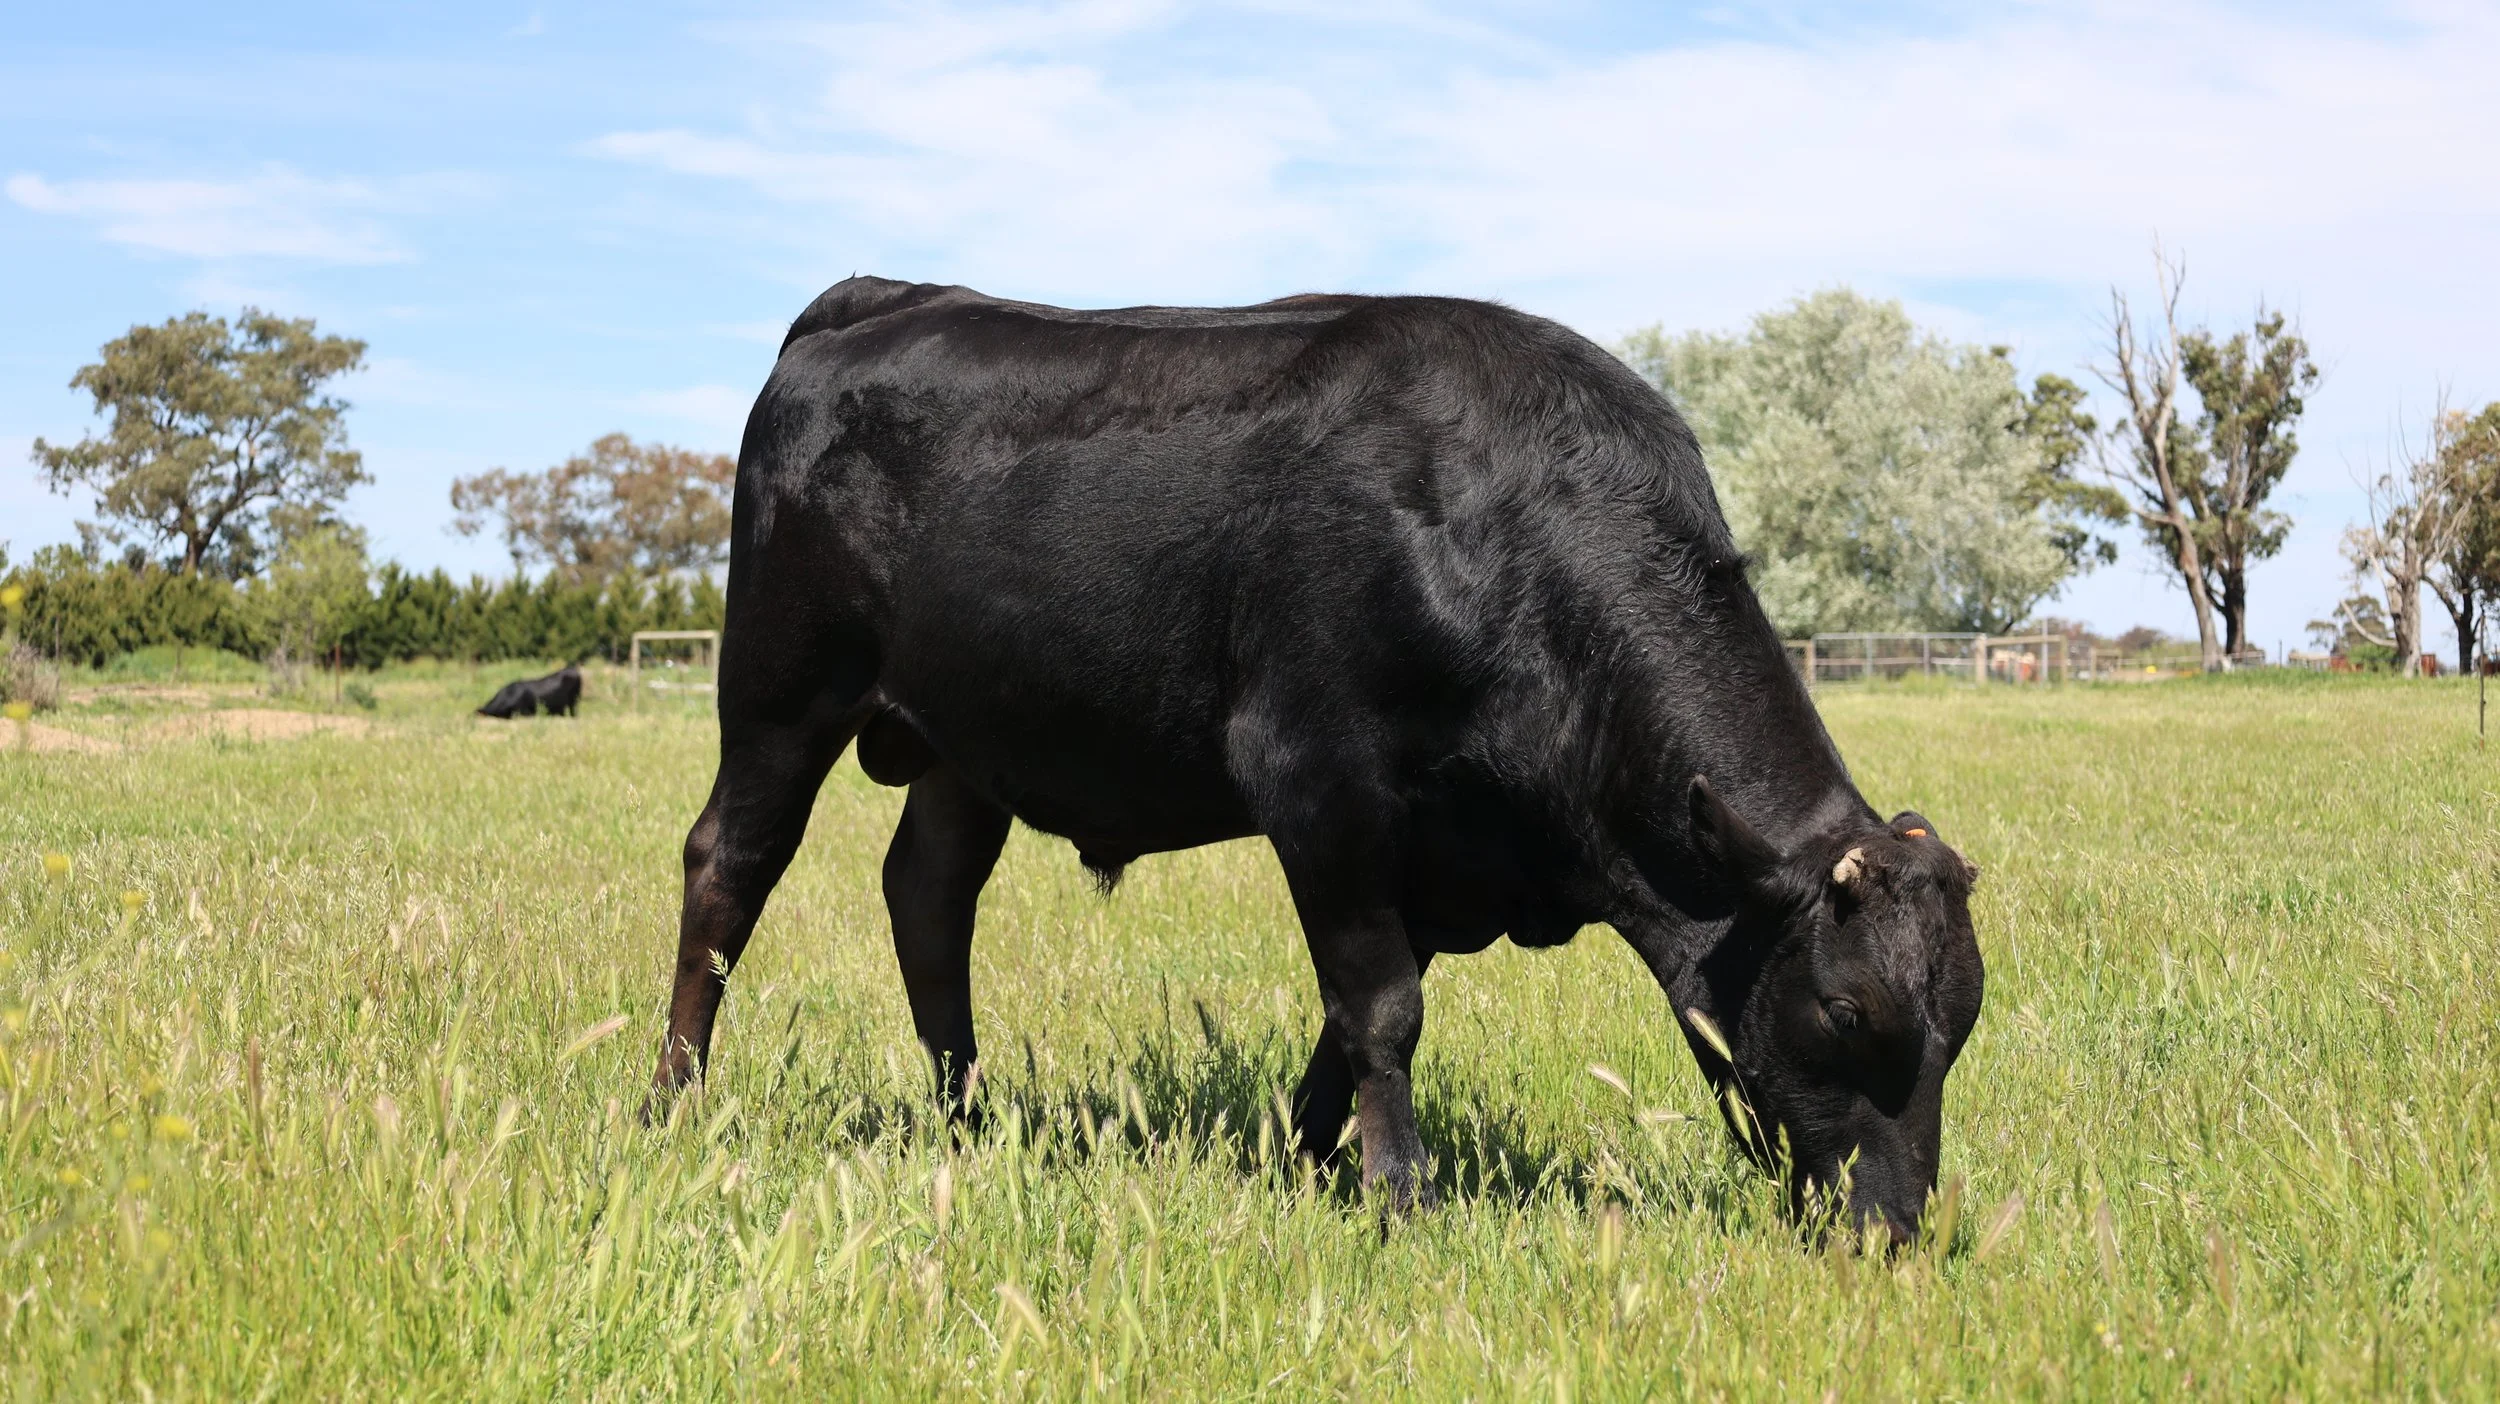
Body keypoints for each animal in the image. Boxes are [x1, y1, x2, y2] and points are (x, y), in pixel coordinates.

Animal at [647, 276, 1985, 1243]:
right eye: (1845, 1010)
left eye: (1959, 1028)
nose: (1893, 1232)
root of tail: (875, 300)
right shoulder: (1316, 779)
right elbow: (1383, 1006)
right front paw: (1400, 1197)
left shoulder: (1439, 857)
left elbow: (1349, 1023)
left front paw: (1301, 1158)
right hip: (782, 685)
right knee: (730, 867)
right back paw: (674, 1100)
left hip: (965, 743)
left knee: (927, 896)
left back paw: (967, 1117)